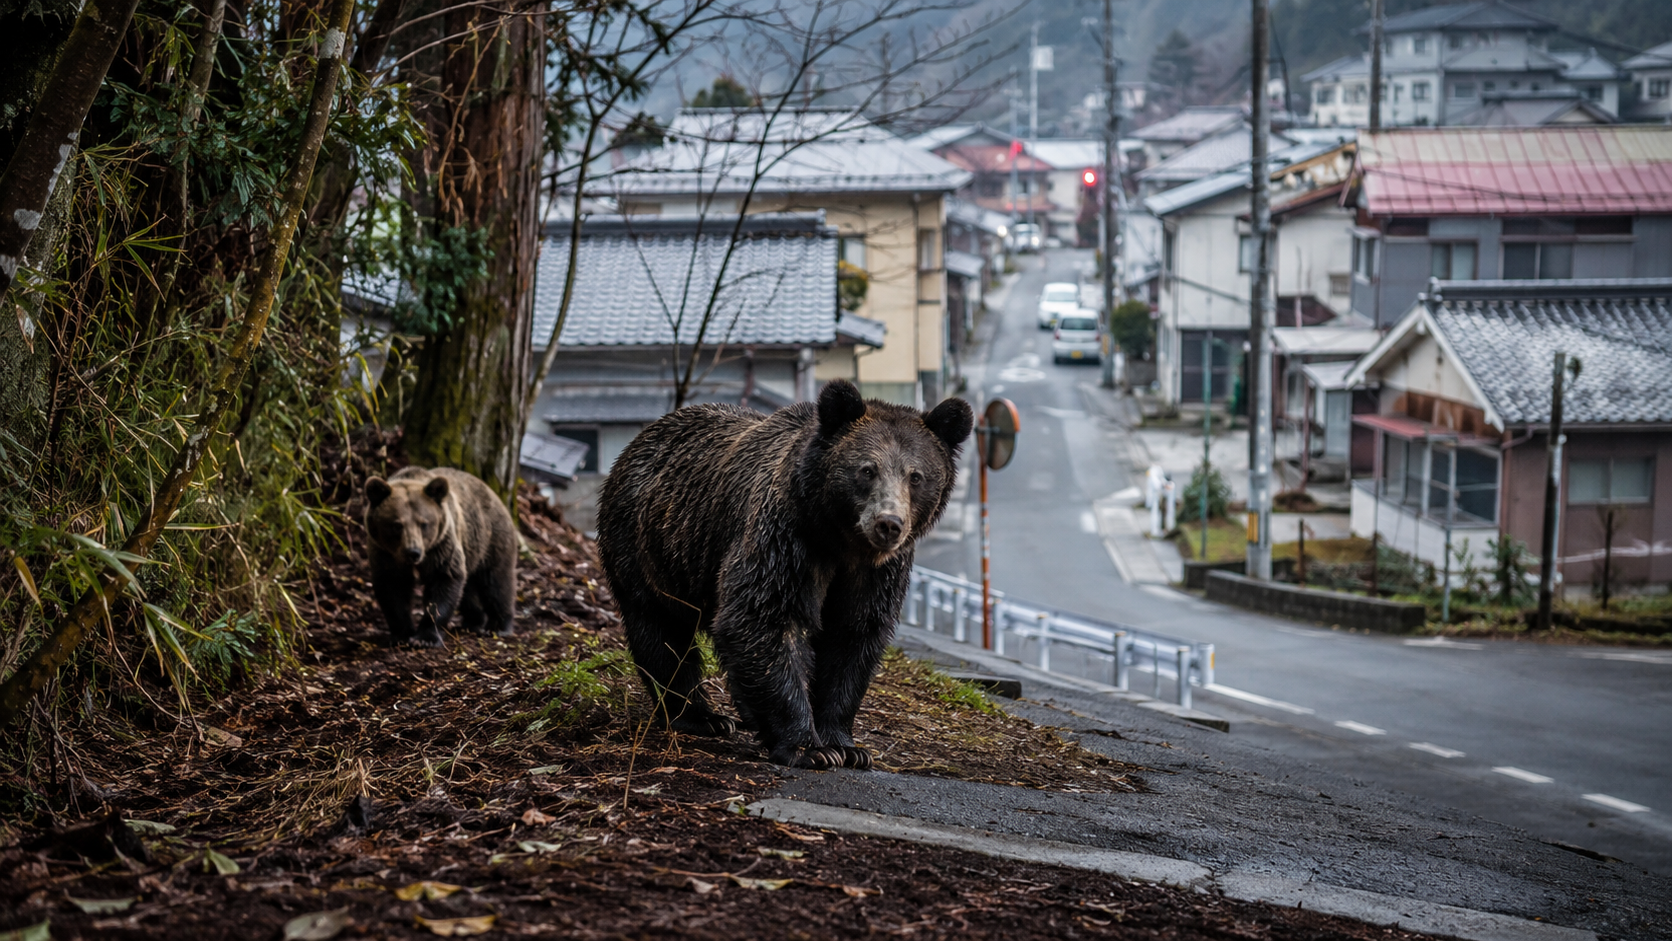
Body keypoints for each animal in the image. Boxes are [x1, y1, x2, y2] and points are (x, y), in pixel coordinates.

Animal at [363, 466, 518, 647]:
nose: (413, 552)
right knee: (467, 590)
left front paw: (425, 638)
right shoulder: (386, 554)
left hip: (490, 539)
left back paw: (499, 626)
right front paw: (402, 635)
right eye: (397, 525)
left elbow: (444, 582)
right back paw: (473, 621)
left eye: (424, 523)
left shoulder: (442, 546)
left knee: (496, 582)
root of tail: (493, 493)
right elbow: (392, 588)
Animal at [596, 379, 974, 770]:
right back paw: (701, 716)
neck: (838, 539)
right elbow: (763, 617)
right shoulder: (786, 539)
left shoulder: (875, 574)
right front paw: (810, 747)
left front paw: (847, 746)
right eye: (867, 469)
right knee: (661, 632)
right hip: (649, 547)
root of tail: (639, 440)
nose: (888, 524)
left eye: (916, 476)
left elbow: (852, 637)